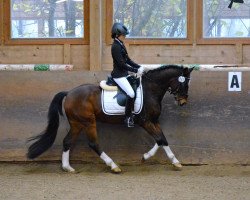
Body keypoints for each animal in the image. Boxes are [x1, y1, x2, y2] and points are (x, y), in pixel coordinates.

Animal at [27, 65, 195, 173]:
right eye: (185, 83)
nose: (183, 102)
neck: (151, 89)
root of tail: (69, 93)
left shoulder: (154, 121)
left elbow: (162, 140)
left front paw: (173, 161)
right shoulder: (145, 122)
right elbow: (160, 139)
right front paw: (147, 157)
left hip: (77, 123)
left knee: (67, 141)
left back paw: (67, 168)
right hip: (88, 122)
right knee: (93, 144)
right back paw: (113, 166)